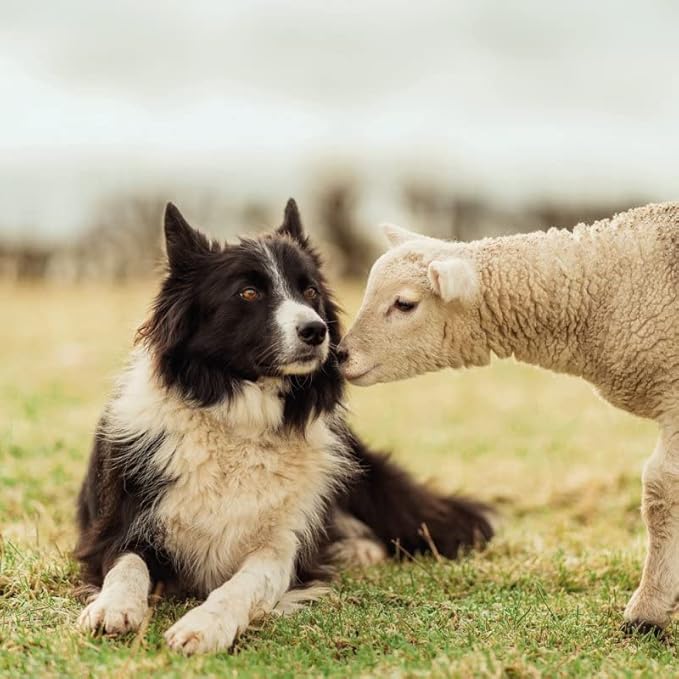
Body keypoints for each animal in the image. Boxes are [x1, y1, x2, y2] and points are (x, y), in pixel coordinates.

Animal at [74, 199, 494, 656]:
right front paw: (112, 607)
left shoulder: (284, 547)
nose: (317, 330)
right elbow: (127, 565)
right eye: (248, 292)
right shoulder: (118, 527)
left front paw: (203, 625)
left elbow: (243, 585)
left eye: (309, 292)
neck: (240, 421)